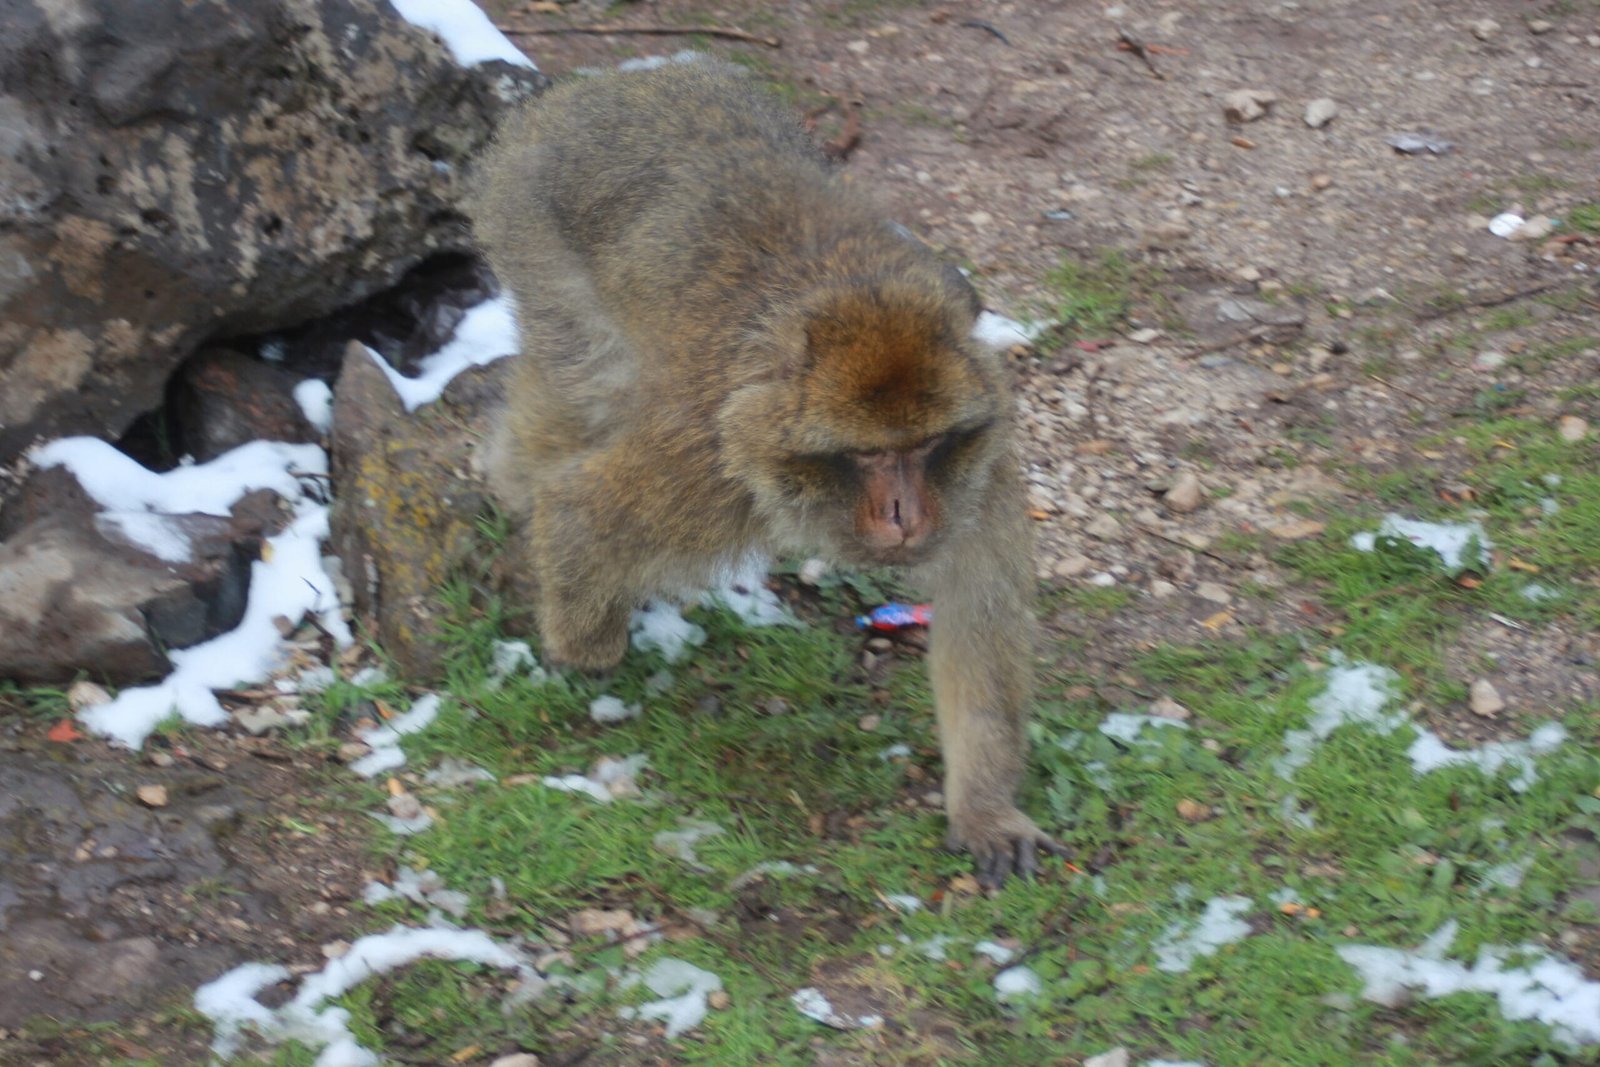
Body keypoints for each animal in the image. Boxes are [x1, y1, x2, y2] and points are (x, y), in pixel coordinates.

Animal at [472, 59, 1066, 888]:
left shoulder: (978, 478)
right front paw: (580, 652)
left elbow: (978, 614)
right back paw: (514, 486)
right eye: (868, 456)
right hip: (533, 231)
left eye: (924, 447)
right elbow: (581, 513)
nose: (905, 513)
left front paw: (984, 809)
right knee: (584, 395)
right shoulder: (709, 467)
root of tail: (610, 85)